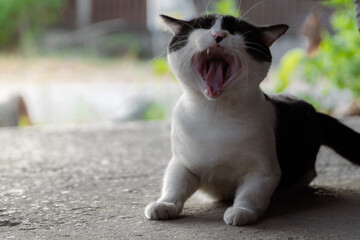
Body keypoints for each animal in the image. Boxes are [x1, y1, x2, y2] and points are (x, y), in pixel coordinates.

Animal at [144, 14, 360, 226]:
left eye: (237, 31)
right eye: (203, 27)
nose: (218, 35)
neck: (215, 112)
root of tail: (316, 112)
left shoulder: (263, 172)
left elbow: (250, 194)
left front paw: (240, 212)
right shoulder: (182, 163)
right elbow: (174, 185)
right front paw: (163, 204)